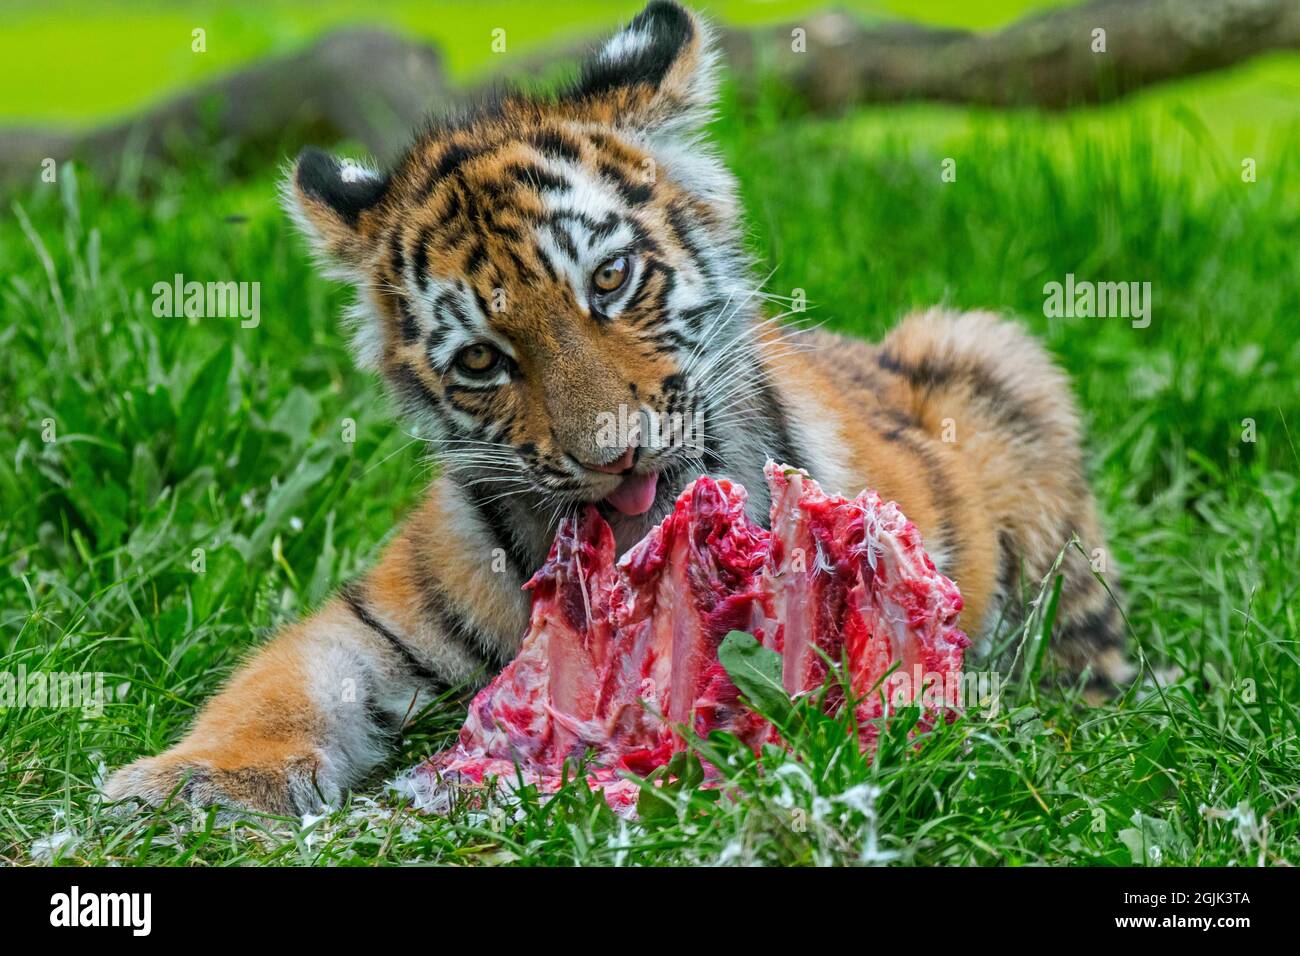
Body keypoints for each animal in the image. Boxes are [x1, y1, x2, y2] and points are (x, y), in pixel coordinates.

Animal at [105, 1, 1131, 814]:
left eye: (609, 279)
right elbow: (277, 683)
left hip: (998, 359)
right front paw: (187, 779)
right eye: (482, 359)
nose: (615, 457)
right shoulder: (383, 617)